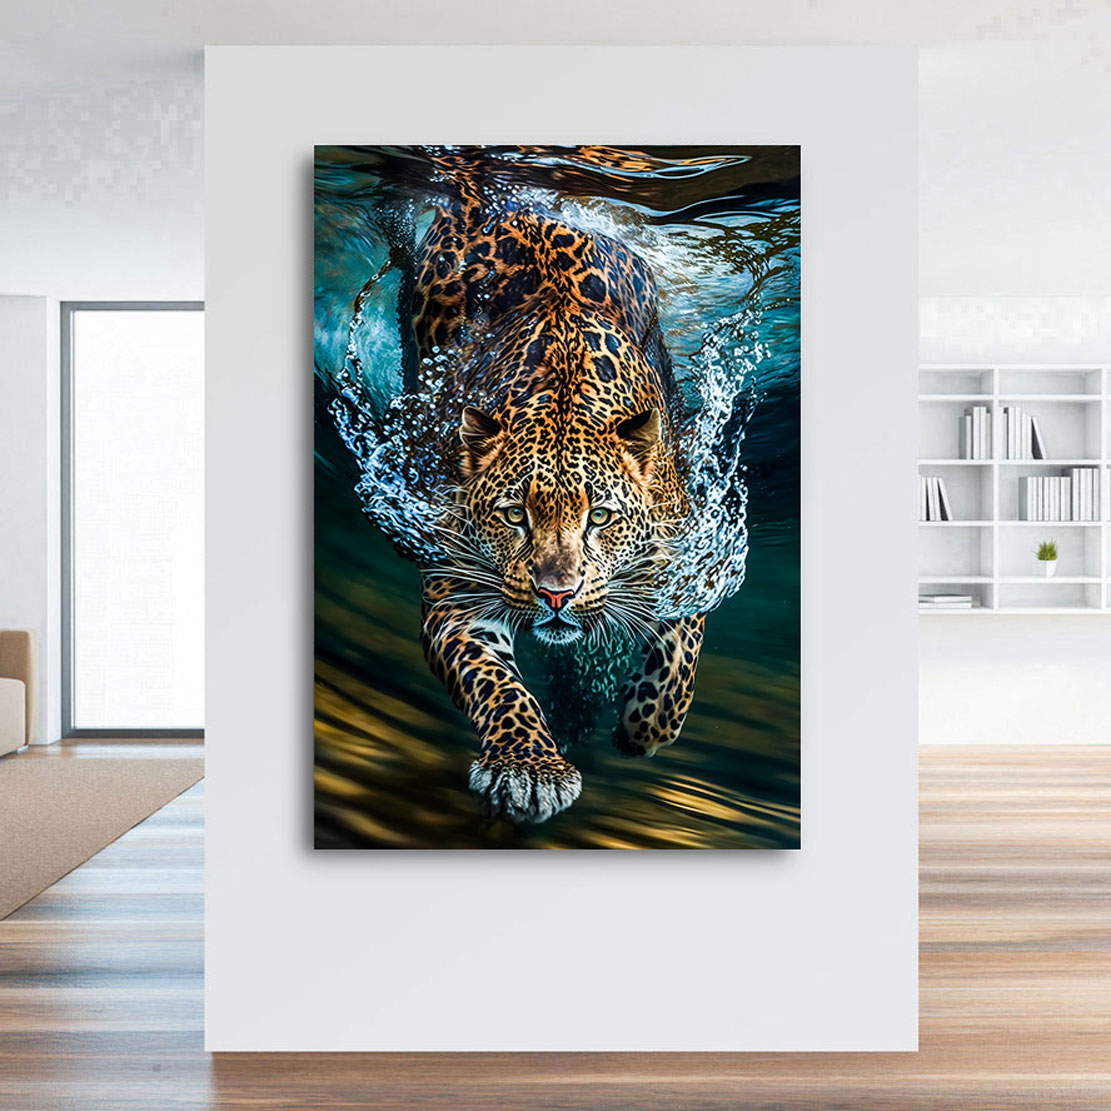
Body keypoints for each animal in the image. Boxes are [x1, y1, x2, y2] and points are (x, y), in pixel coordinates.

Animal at [402, 148, 707, 825]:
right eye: (514, 515)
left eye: (601, 517)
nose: (556, 595)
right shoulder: (458, 593)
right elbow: (496, 684)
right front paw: (529, 767)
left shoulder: (692, 558)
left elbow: (677, 660)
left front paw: (640, 727)